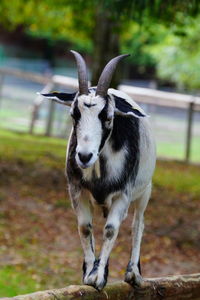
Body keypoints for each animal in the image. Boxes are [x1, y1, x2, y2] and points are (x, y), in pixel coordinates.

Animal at [41, 51, 156, 290]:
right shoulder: (77, 191)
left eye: (108, 117)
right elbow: (85, 227)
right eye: (74, 114)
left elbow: (111, 229)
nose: (84, 156)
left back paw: (133, 273)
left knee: (138, 224)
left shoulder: (123, 195)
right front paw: (89, 273)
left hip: (145, 191)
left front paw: (99, 276)